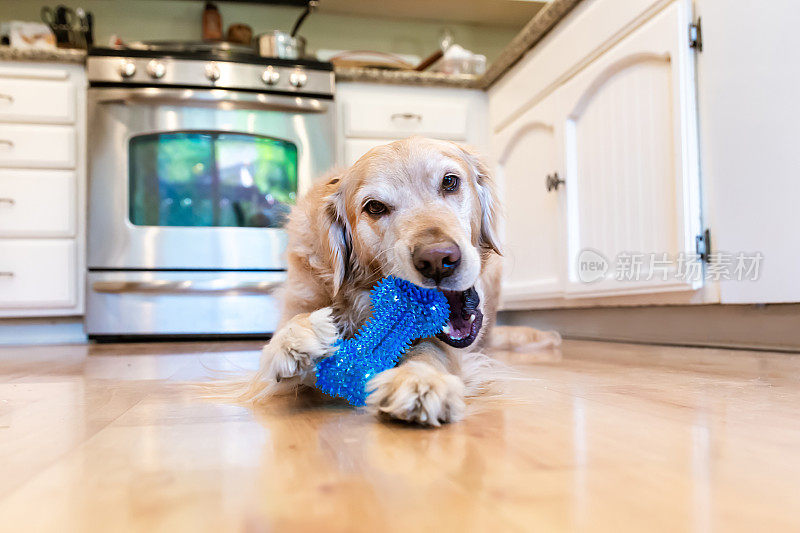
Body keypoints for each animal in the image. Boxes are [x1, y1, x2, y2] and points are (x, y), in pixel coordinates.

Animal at [239, 136, 556, 424]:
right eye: (375, 207)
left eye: (450, 182)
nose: (437, 260)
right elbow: (289, 336)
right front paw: (294, 340)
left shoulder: (445, 345)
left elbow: (430, 351)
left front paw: (418, 380)